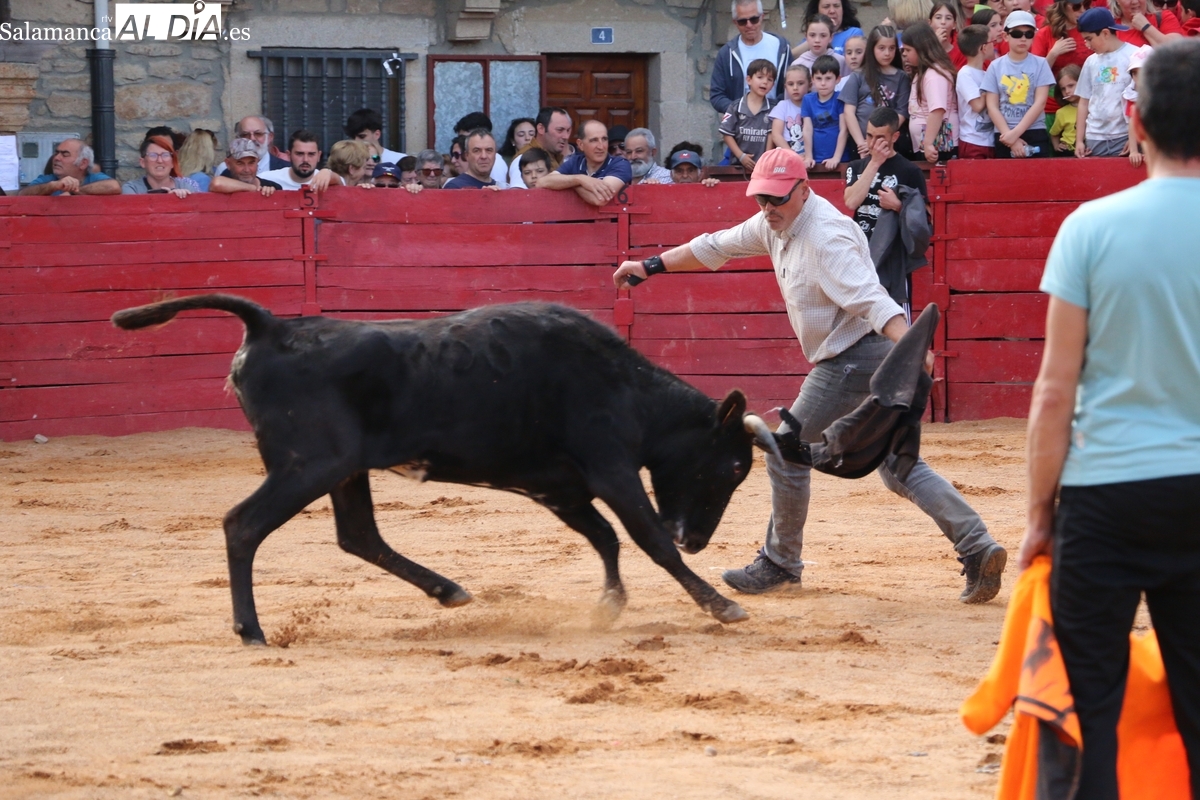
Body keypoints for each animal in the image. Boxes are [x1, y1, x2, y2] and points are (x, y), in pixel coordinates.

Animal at [112, 295, 784, 645]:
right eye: (732, 466)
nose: (696, 540)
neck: (625, 386)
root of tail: (271, 327)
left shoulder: (558, 486)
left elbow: (605, 538)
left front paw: (608, 606)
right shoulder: (610, 472)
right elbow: (644, 539)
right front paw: (718, 606)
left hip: (342, 469)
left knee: (359, 535)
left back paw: (449, 591)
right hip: (312, 464)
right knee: (244, 525)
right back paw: (251, 629)